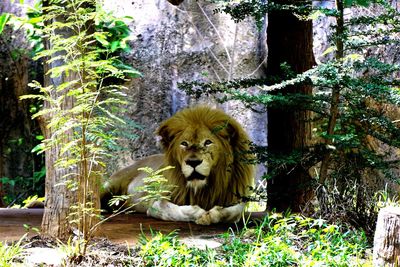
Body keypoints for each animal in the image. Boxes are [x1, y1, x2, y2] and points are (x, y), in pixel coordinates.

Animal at [101, 105, 255, 225]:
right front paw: (198, 213)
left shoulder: (237, 198)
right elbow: (173, 211)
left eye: (208, 142)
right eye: (184, 143)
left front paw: (212, 215)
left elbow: (232, 212)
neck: (203, 188)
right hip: (110, 185)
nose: (193, 162)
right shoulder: (157, 203)